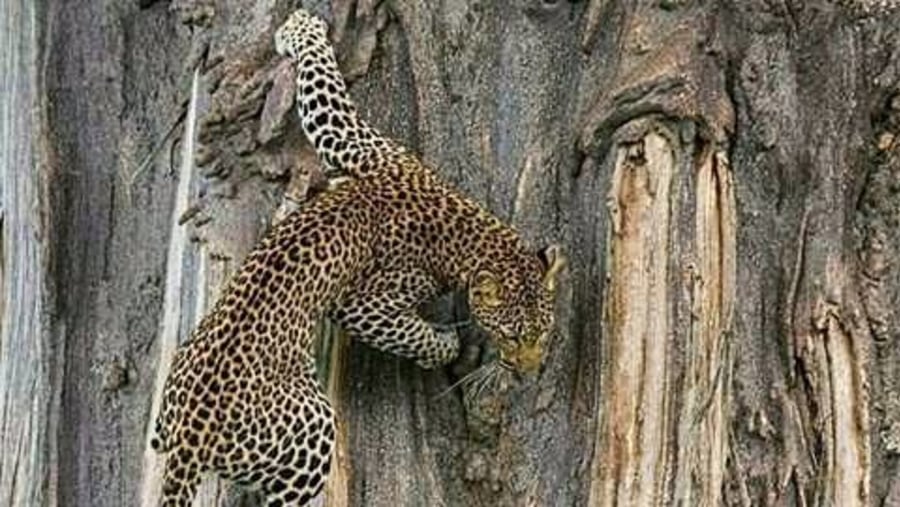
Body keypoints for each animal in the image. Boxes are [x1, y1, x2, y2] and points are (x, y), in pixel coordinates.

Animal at [152, 7, 568, 507]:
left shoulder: (357, 146)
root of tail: (188, 442)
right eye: (510, 336)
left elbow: (322, 92)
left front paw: (299, 28)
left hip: (167, 406)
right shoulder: (364, 303)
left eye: (543, 331)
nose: (529, 371)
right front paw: (447, 343)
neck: (468, 229)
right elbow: (411, 335)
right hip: (311, 424)